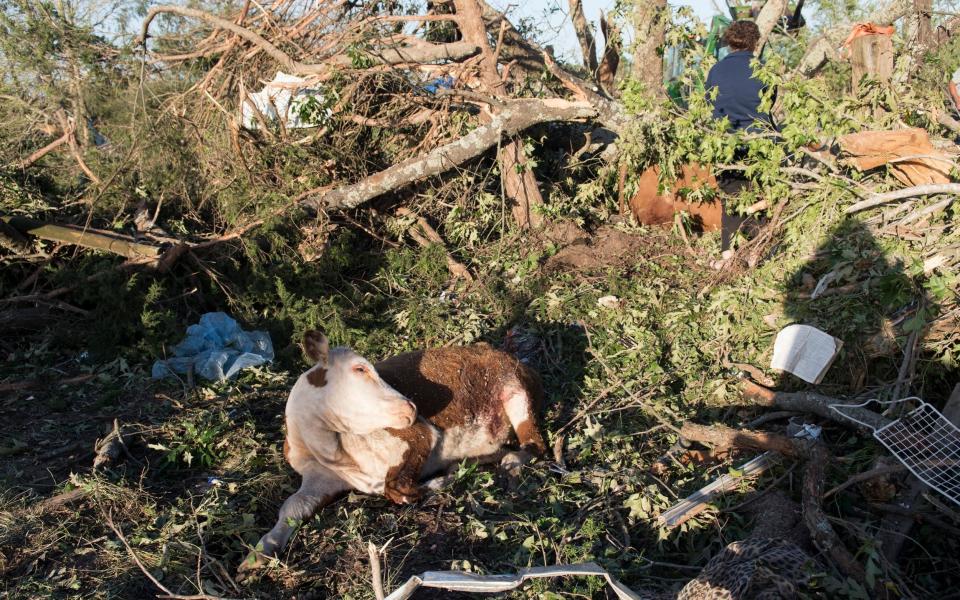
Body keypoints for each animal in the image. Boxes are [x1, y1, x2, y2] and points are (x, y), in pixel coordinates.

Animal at [242, 330, 548, 568]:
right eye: (360, 369)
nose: (411, 407)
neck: (336, 451)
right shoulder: (322, 475)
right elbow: (294, 505)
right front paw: (258, 553)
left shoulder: (421, 432)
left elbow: (398, 489)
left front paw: (435, 483)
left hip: (515, 391)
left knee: (536, 444)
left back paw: (510, 462)